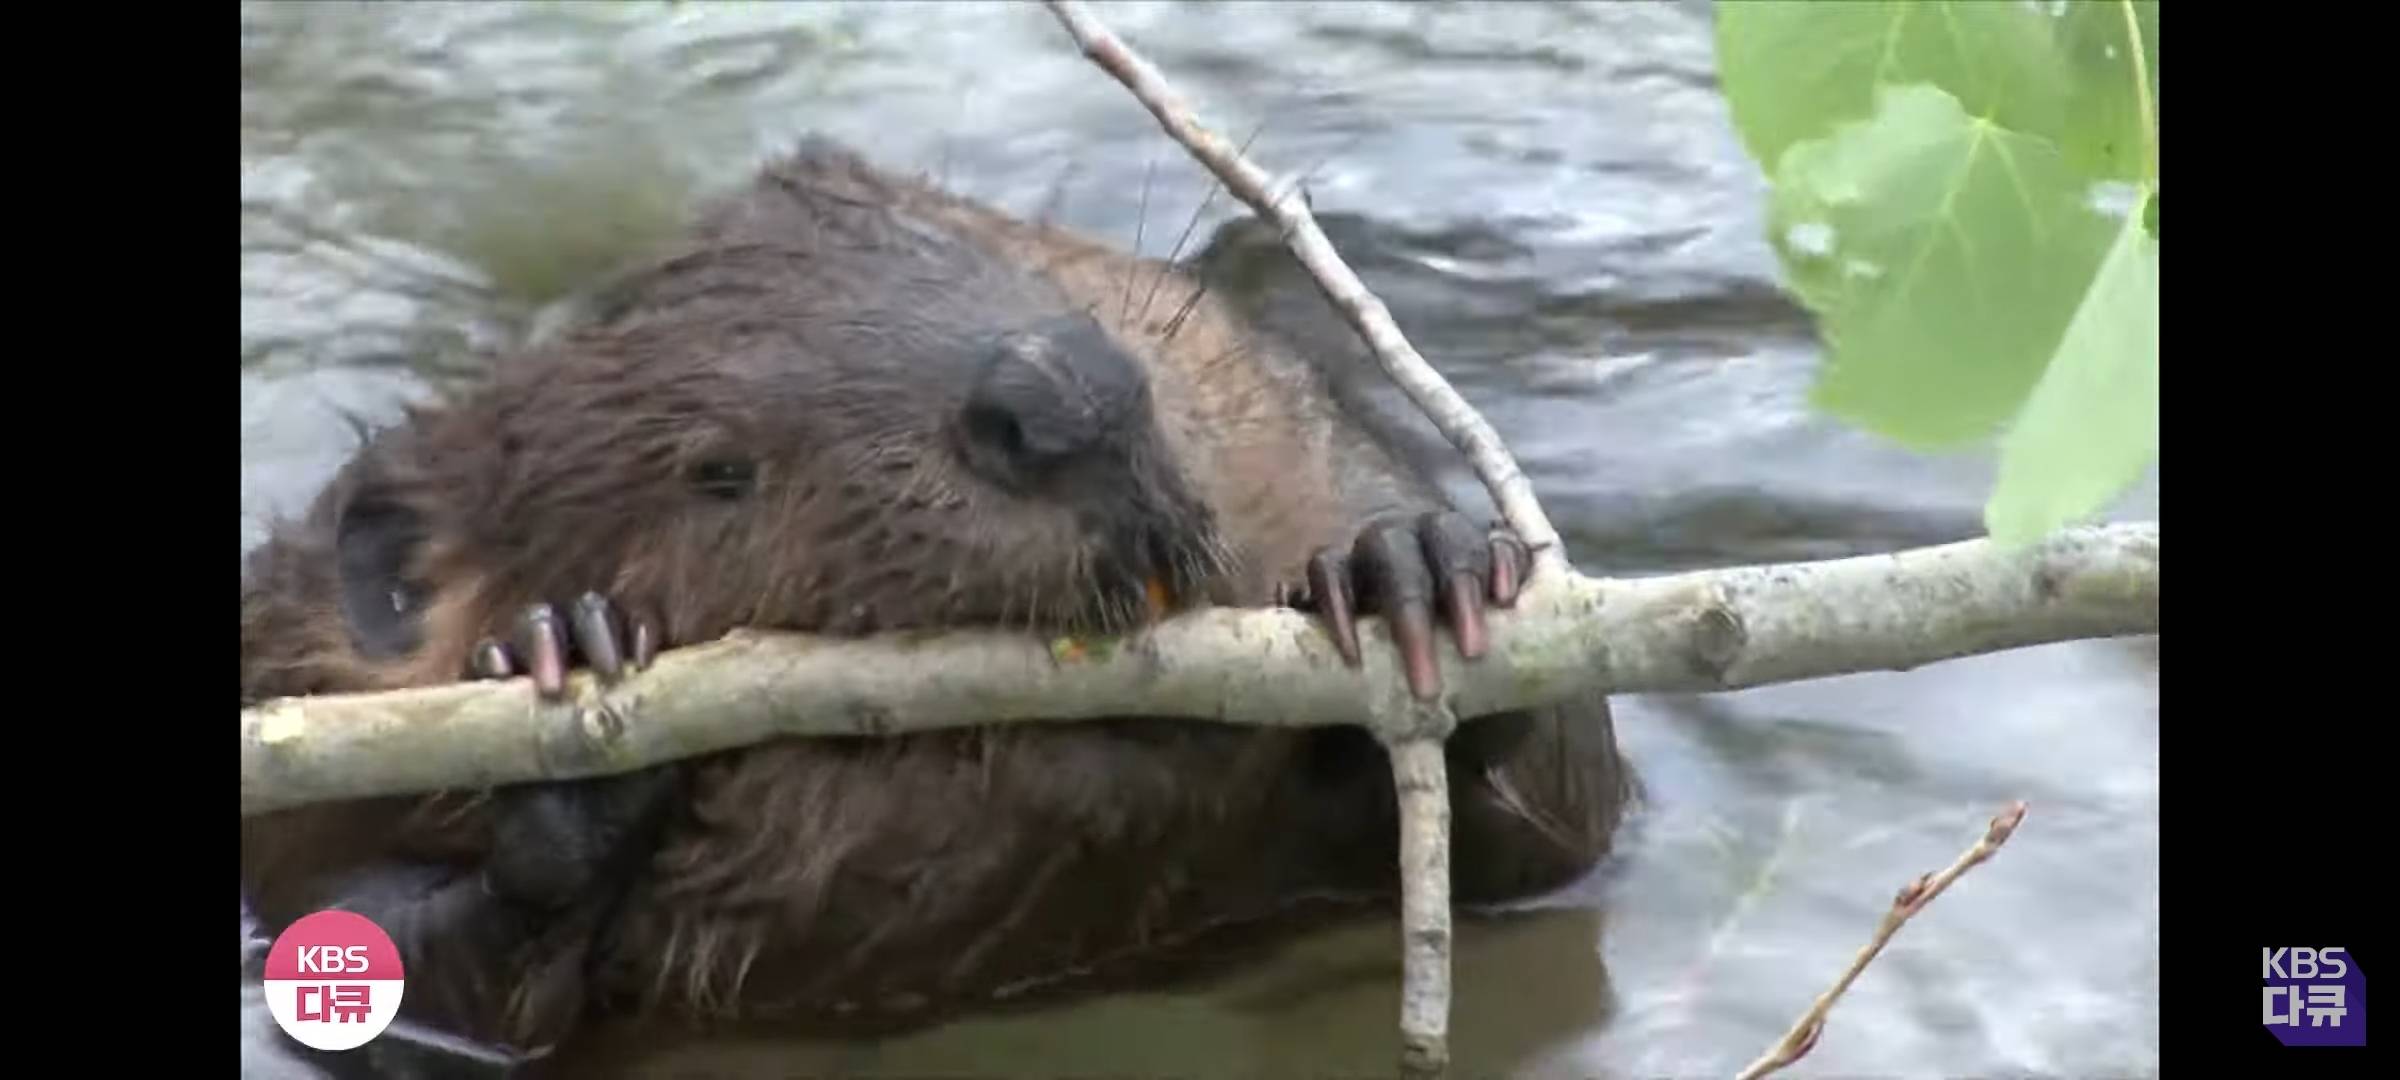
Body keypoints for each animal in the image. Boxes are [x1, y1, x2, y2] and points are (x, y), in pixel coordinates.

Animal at [238, 137, 1632, 1070]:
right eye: (719, 473)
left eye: (1020, 265)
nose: (1059, 395)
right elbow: (392, 968)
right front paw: (571, 667)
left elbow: (1578, 811)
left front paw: (1414, 572)